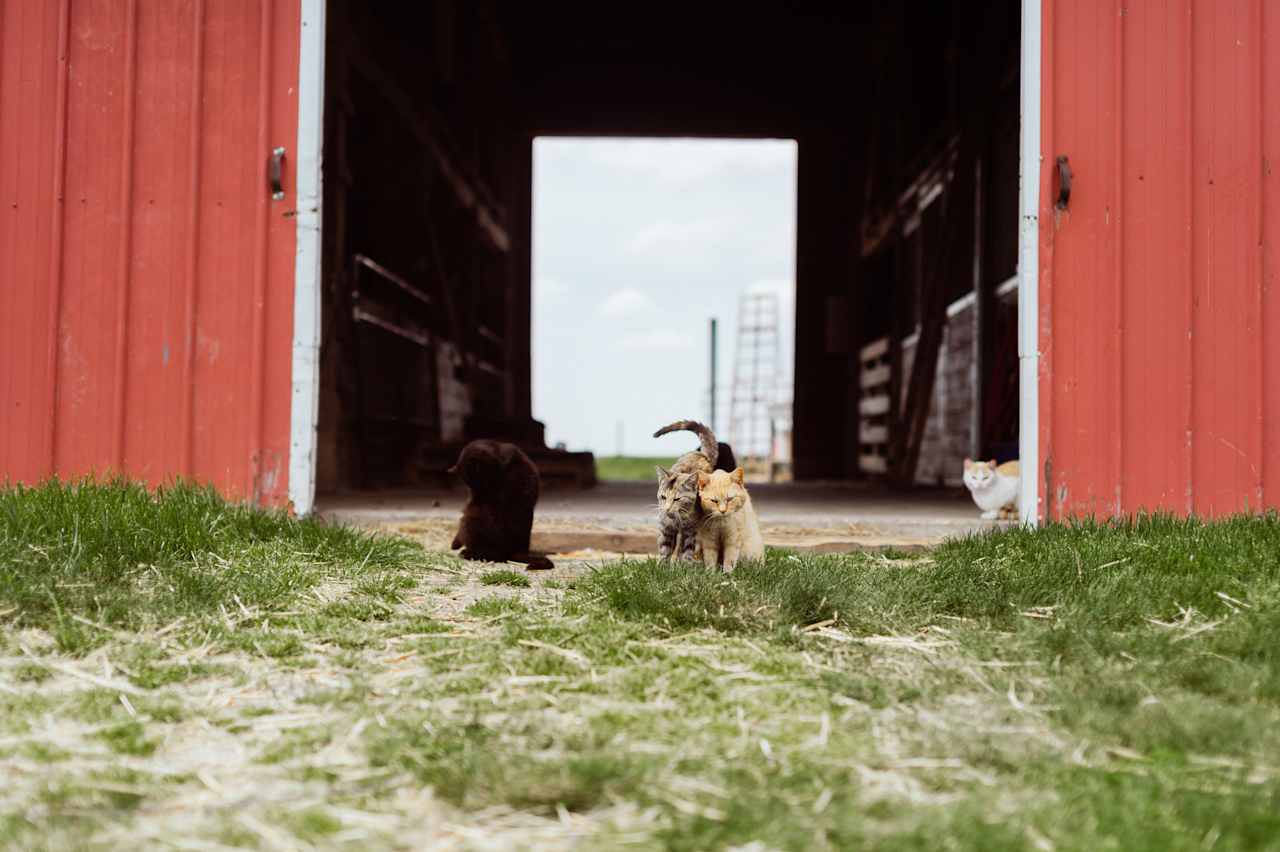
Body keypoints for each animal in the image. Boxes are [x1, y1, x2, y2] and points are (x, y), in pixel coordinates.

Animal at [448, 440, 552, 568]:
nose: (480, 493)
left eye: (480, 482)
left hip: (474, 518)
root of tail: (519, 550)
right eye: (469, 485)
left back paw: (466, 553)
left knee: (494, 555)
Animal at [650, 417, 721, 557]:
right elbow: (665, 551)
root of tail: (701, 454)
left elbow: (687, 552)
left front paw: (684, 562)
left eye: (677, 499)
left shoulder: (691, 531)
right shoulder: (665, 529)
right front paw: (662, 563)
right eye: (663, 497)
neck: (677, 520)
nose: (667, 508)